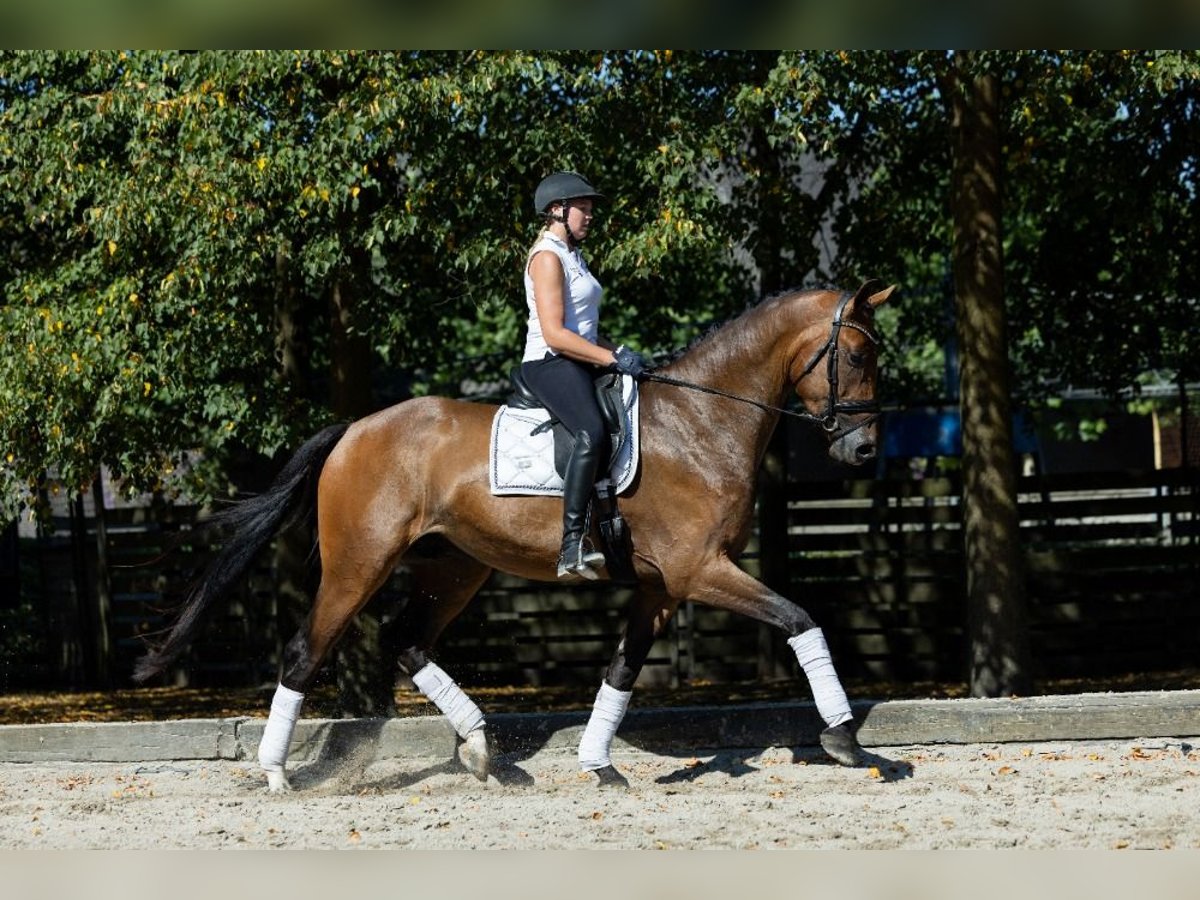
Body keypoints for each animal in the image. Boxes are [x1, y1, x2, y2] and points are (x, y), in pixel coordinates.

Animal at [133, 278, 894, 791]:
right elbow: (800, 619)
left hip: (454, 567)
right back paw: (278, 775)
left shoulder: (661, 586)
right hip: (360, 562)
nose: (862, 451)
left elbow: (621, 669)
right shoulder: (698, 571)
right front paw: (846, 740)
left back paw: (480, 752)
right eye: (857, 356)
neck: (701, 423)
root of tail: (353, 430)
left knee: (406, 640)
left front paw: (597, 763)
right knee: (305, 650)